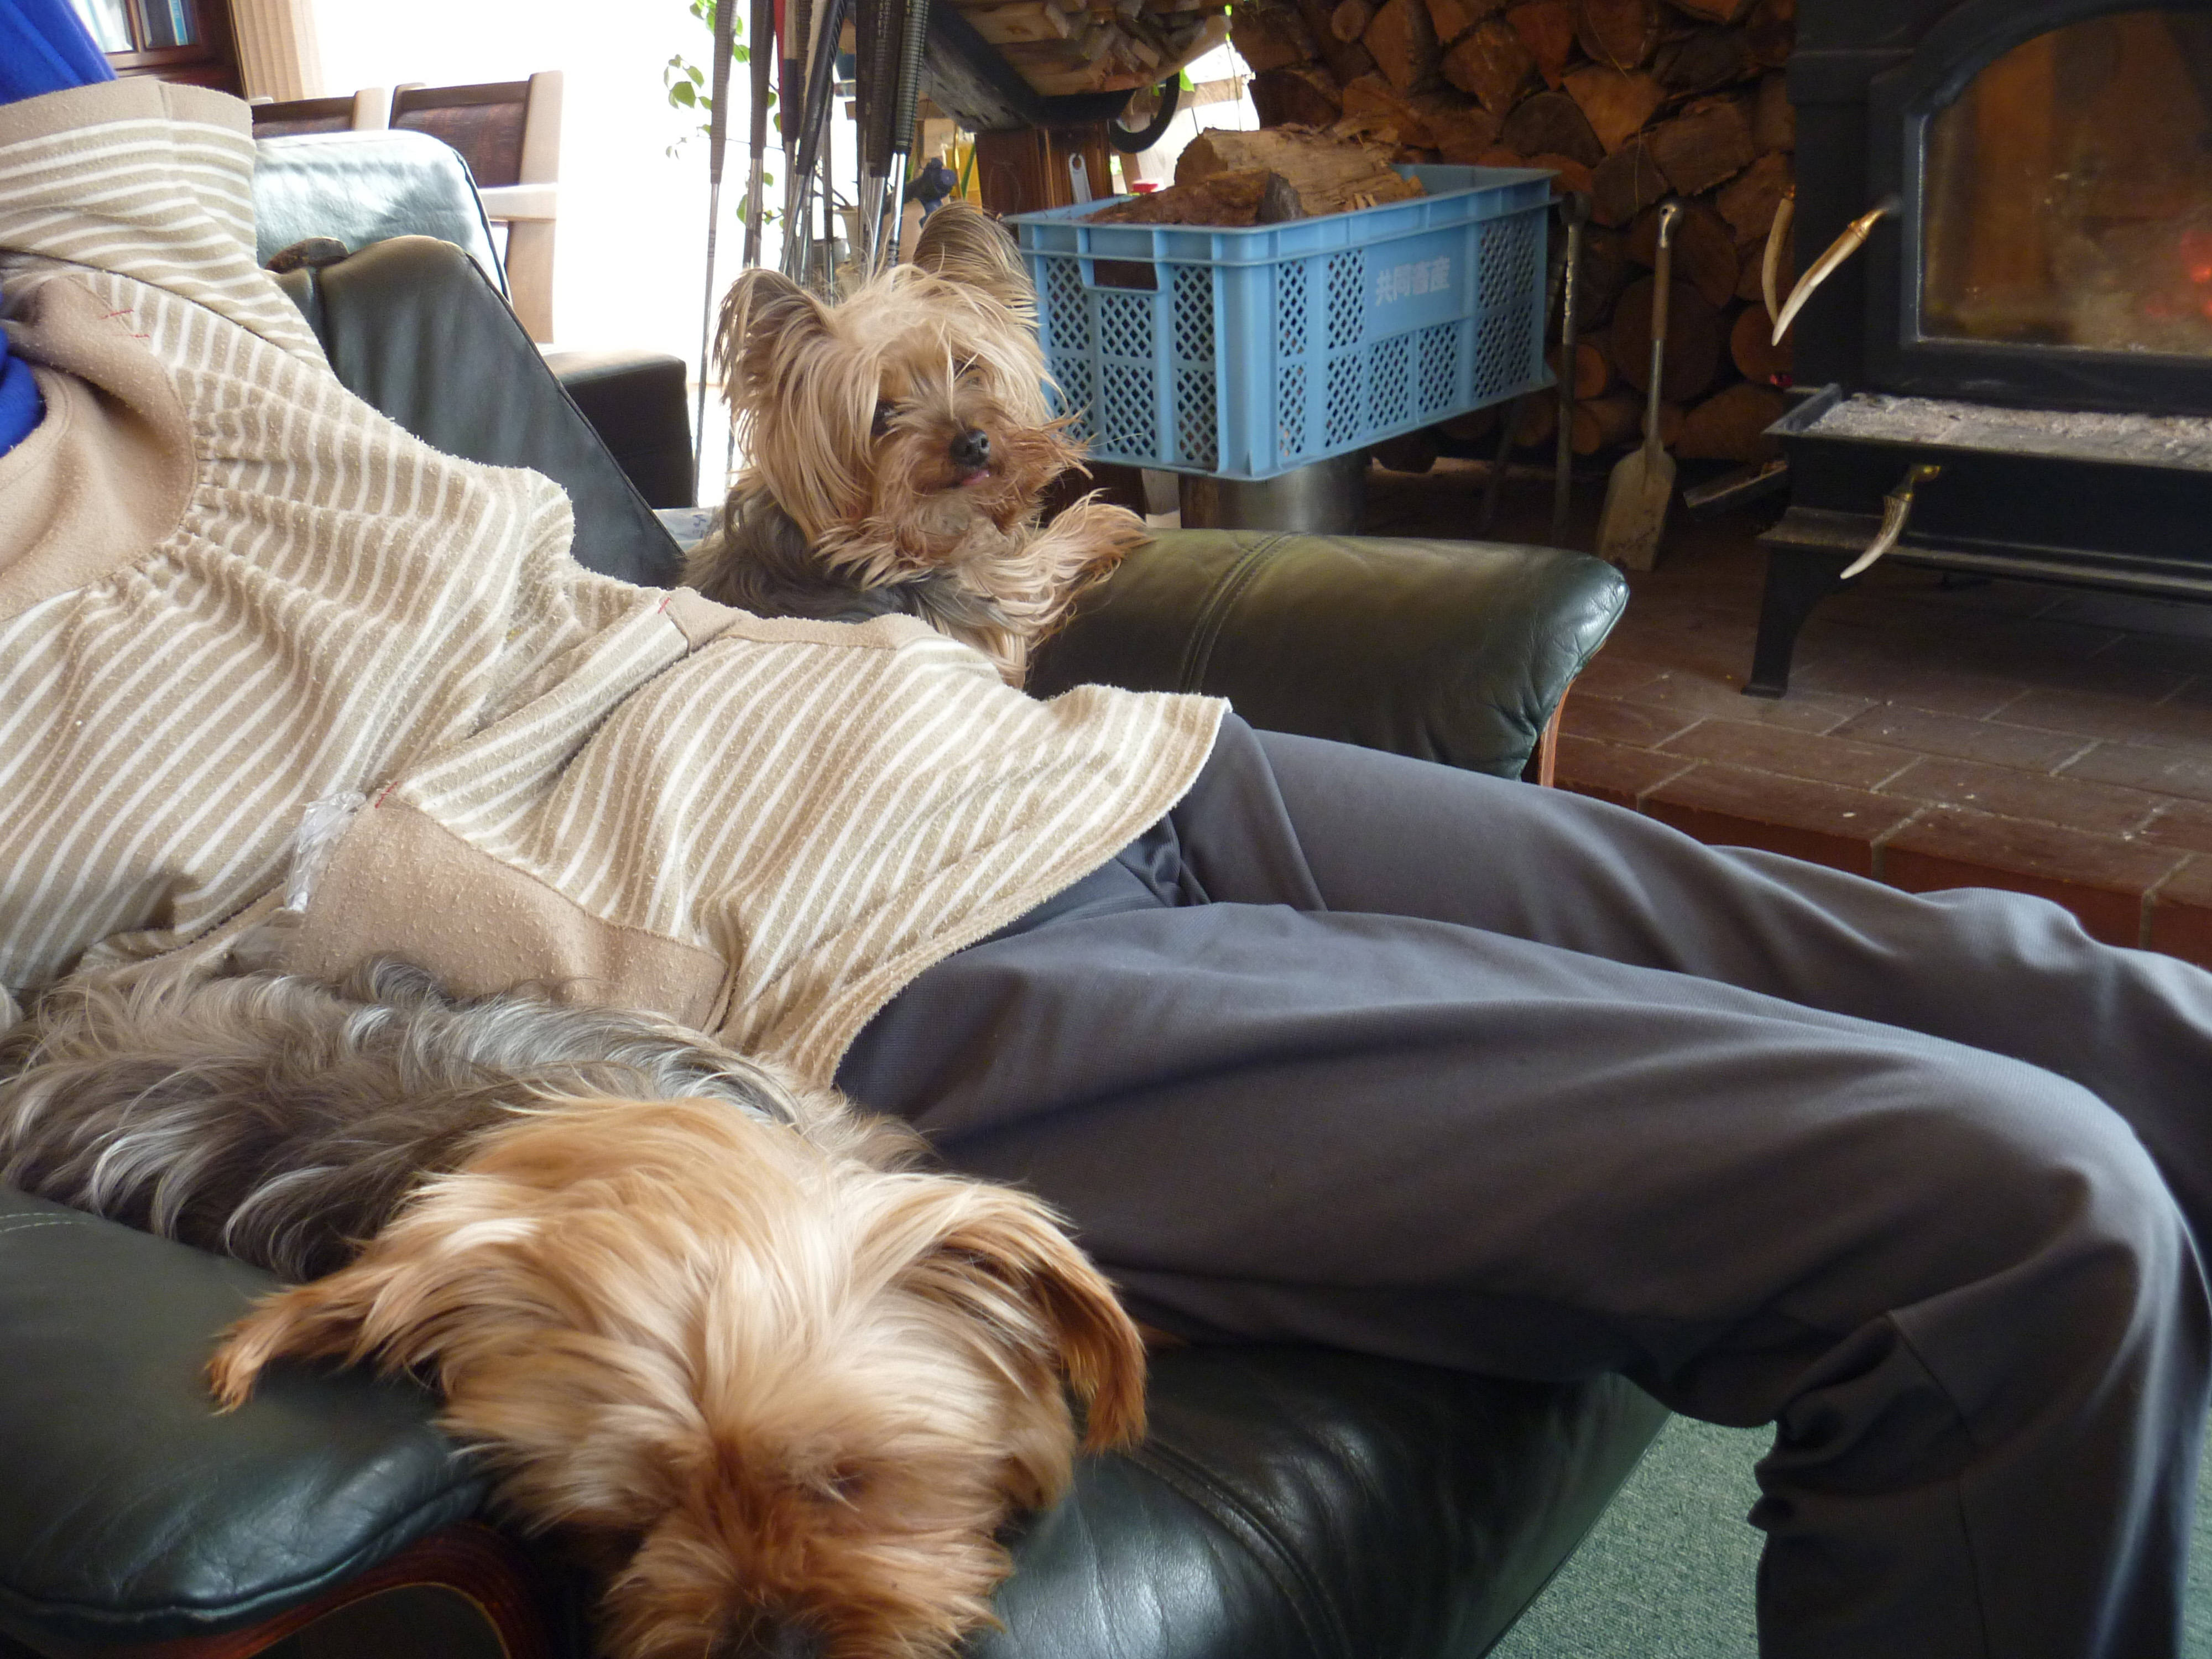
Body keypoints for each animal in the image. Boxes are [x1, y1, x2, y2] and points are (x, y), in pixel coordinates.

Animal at [682, 204, 1149, 687]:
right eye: (880, 415)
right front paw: (1104, 521)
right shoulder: (992, 609)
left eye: (965, 368)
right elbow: (1037, 569)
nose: (972, 444)